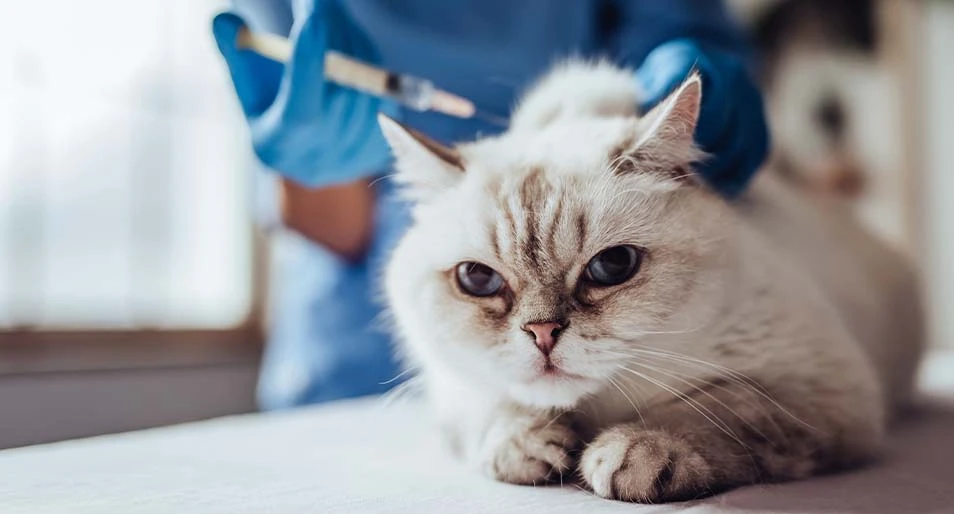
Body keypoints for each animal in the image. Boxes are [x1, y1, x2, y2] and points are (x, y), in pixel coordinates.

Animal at [374, 59, 924, 500]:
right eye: (478, 278)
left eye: (612, 266)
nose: (543, 334)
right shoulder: (452, 387)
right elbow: (498, 407)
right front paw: (530, 446)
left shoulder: (814, 390)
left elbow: (712, 408)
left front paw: (633, 454)